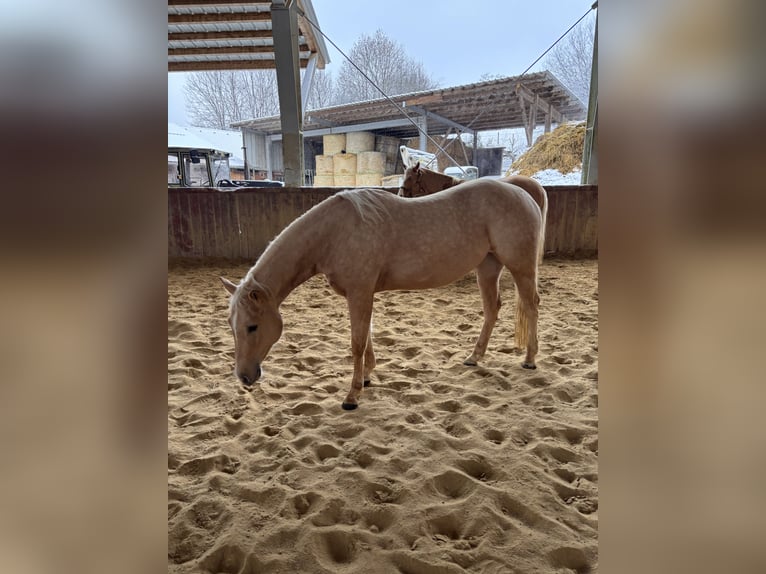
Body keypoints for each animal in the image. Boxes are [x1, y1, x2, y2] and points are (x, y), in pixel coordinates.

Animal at [221, 180, 544, 411]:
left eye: (252, 327)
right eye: (232, 327)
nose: (244, 377)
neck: (333, 233)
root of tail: (523, 193)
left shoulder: (360, 293)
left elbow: (357, 343)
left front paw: (352, 396)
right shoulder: (362, 294)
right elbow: (367, 337)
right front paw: (366, 377)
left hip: (521, 267)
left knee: (531, 306)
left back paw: (529, 359)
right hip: (488, 267)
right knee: (492, 309)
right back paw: (474, 358)